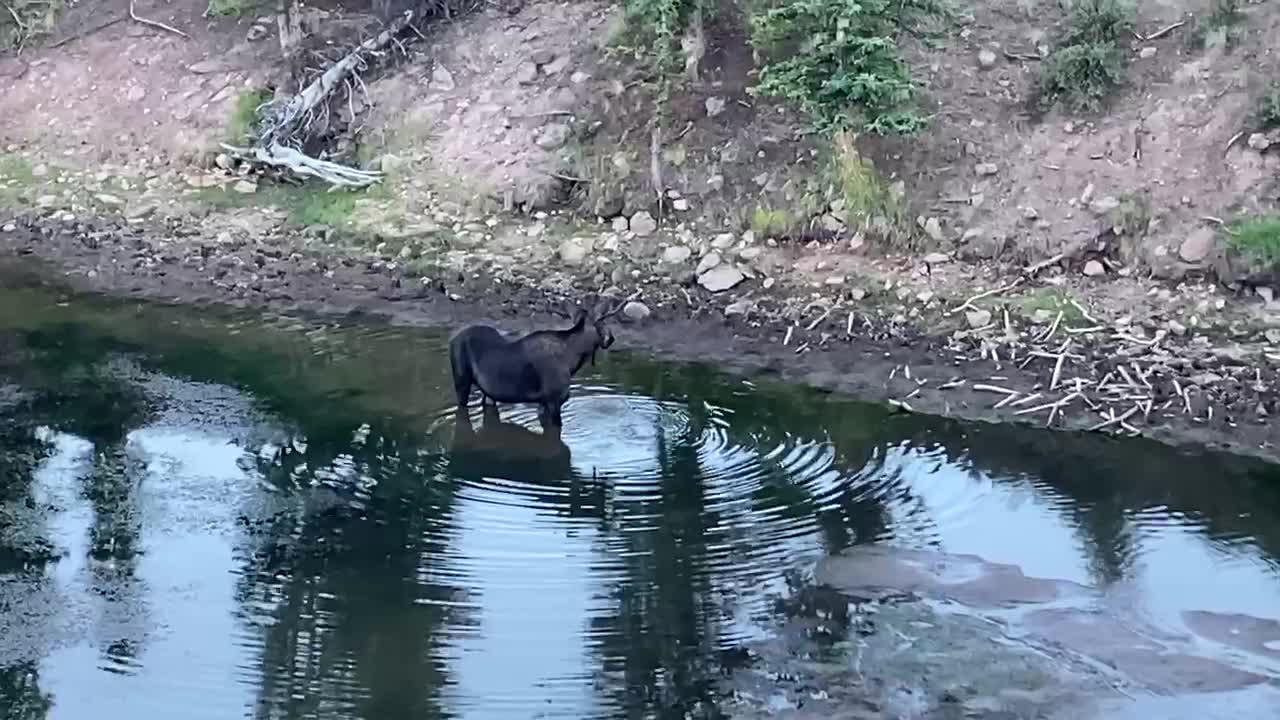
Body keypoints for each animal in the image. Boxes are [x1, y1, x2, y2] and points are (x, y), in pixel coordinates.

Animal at [448, 292, 637, 425]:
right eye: (602, 323)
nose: (611, 338)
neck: (572, 359)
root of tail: (452, 340)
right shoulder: (554, 399)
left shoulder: (543, 402)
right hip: (461, 379)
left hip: (487, 392)